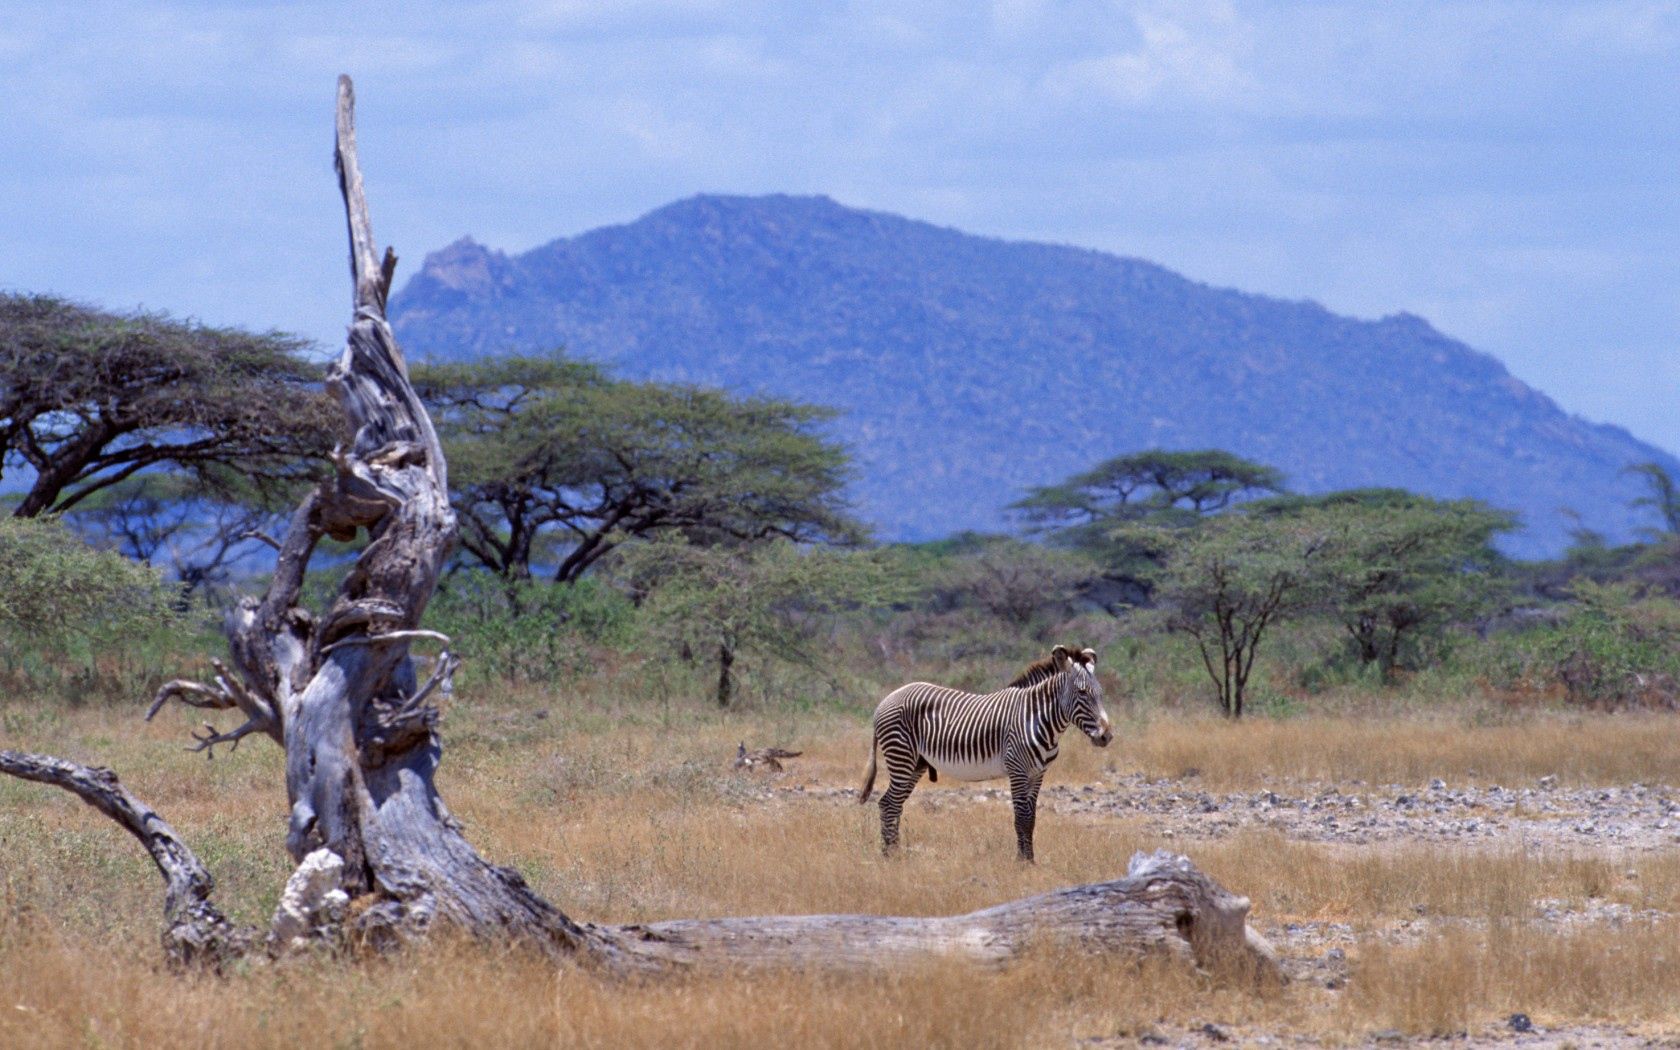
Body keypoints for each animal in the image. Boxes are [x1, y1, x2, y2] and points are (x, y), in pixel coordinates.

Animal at [853, 648, 1115, 860]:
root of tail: (885, 700)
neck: (1037, 719)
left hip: (915, 764)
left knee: (893, 804)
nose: (1107, 736)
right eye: (1082, 693)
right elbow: (1021, 817)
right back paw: (890, 856)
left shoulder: (1037, 774)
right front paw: (1022, 862)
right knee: (888, 804)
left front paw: (1030, 860)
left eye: (1101, 693)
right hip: (901, 757)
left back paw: (894, 851)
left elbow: (1031, 819)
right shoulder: (1017, 770)